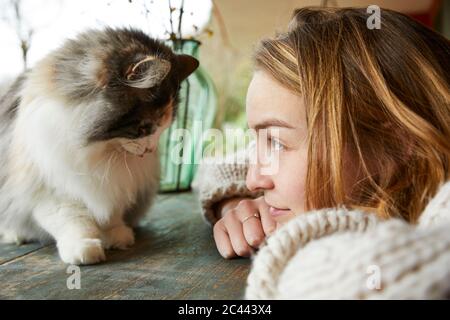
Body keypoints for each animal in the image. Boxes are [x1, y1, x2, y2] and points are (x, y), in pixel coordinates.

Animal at [0, 27, 199, 264]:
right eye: (145, 127)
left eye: (164, 127)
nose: (151, 149)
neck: (97, 150)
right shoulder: (51, 191)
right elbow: (74, 221)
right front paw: (84, 250)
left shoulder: (116, 182)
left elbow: (111, 214)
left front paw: (117, 237)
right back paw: (16, 235)